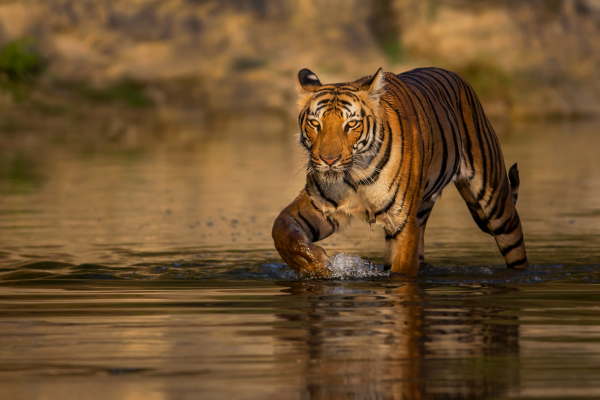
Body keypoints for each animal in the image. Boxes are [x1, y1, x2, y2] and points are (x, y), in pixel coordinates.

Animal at [274, 67, 528, 276]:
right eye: (315, 124)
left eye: (351, 124)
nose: (329, 160)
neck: (355, 175)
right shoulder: (319, 205)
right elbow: (281, 229)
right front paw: (315, 263)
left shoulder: (403, 223)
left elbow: (402, 272)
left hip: (495, 203)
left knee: (515, 243)